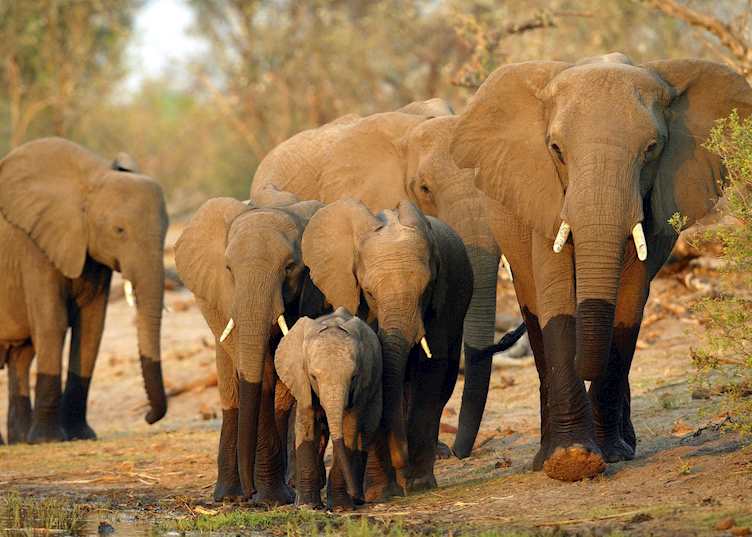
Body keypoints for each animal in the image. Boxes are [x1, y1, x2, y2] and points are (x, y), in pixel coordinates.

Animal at [0, 137, 168, 444]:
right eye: (119, 230)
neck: (93, 177)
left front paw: (80, 435)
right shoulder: (34, 246)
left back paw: (19, 441)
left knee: (22, 357)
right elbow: (52, 324)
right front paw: (48, 441)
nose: (149, 417)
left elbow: (91, 328)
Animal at [174, 191, 324, 503]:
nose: (249, 492)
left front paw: (271, 499)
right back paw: (228, 496)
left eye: (289, 268)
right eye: (229, 269)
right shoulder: (222, 295)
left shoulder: (314, 293)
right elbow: (260, 371)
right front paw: (265, 499)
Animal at [275, 307, 382, 511]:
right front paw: (307, 506)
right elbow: (306, 425)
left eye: (354, 377)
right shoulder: (301, 381)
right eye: (313, 377)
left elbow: (349, 429)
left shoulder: (360, 389)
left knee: (367, 432)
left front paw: (341, 507)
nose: (353, 492)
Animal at [301, 198, 474, 498]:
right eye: (369, 292)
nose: (401, 457)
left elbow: (430, 371)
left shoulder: (443, 301)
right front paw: (382, 493)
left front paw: (418, 484)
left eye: (426, 290)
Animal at [450, 53, 752, 481]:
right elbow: (557, 299)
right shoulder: (543, 193)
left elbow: (628, 306)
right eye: (556, 149)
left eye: (652, 148)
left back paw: (625, 444)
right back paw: (544, 456)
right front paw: (571, 460)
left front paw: (609, 453)